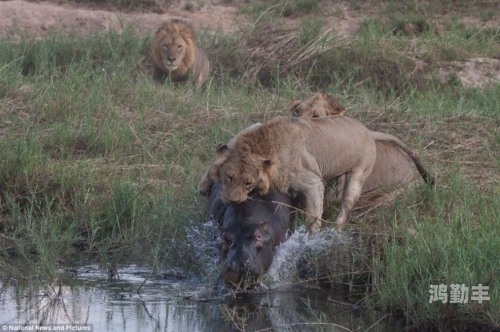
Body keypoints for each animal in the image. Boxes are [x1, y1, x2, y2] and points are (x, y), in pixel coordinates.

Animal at [209, 116, 376, 233]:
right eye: (229, 177)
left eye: (248, 183)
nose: (233, 201)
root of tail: (366, 130)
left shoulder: (313, 183)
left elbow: (313, 218)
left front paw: (311, 241)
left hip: (358, 174)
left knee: (346, 204)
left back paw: (336, 231)